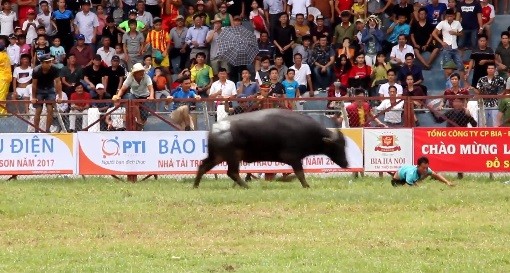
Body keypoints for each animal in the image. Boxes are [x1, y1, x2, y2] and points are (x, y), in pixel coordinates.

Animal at [193, 107, 348, 188]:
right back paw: (246, 186)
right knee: (232, 172)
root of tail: (214, 129)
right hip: (232, 156)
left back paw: (196, 185)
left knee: (203, 166)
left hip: (217, 156)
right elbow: (300, 173)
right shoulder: (294, 157)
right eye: (337, 146)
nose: (346, 164)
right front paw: (307, 186)